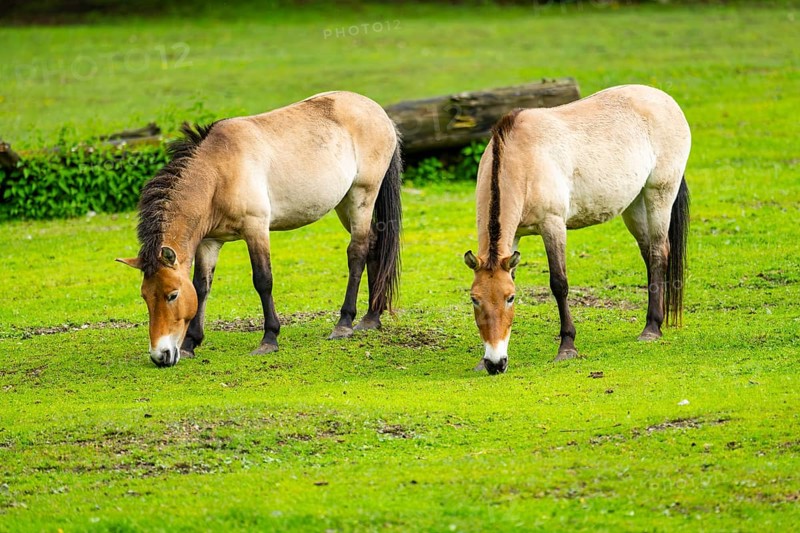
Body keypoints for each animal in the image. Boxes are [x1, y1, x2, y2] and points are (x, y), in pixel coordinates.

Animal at [117, 91, 402, 367]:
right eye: (145, 296)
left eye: (172, 295)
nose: (160, 356)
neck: (218, 173)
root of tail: (379, 113)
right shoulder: (209, 242)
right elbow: (201, 286)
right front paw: (190, 344)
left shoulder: (256, 229)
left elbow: (263, 280)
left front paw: (269, 339)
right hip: (344, 204)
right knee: (374, 245)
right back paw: (371, 318)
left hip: (362, 196)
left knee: (357, 252)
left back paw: (344, 323)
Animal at [464, 85, 691, 375]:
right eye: (475, 299)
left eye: (510, 298)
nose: (495, 363)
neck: (521, 158)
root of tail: (665, 99)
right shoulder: (512, 238)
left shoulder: (553, 225)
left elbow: (559, 283)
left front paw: (567, 347)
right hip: (634, 205)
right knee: (649, 255)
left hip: (659, 193)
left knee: (659, 252)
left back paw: (651, 329)